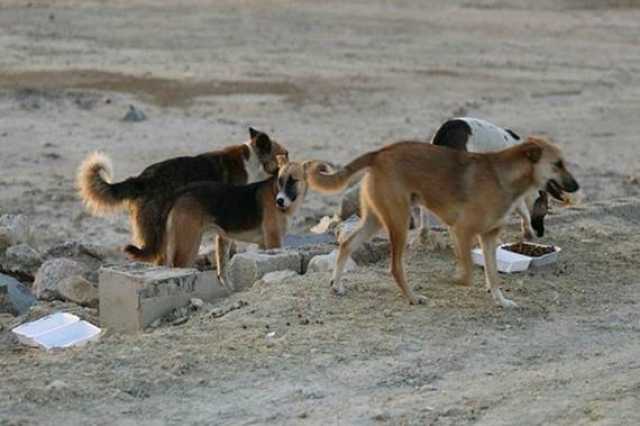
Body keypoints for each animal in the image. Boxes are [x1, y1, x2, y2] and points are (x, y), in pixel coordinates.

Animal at [162, 156, 308, 290]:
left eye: (293, 181)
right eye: (280, 181)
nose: (279, 201)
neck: (274, 191)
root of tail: (182, 193)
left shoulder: (263, 245)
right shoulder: (274, 241)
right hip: (188, 247)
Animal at [308, 136, 584, 306]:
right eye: (558, 164)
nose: (576, 186)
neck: (503, 177)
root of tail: (379, 153)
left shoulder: (489, 236)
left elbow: (493, 274)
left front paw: (500, 300)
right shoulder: (462, 231)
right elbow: (468, 275)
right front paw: (453, 280)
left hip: (376, 220)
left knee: (346, 243)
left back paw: (336, 284)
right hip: (399, 223)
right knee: (395, 267)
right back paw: (413, 297)